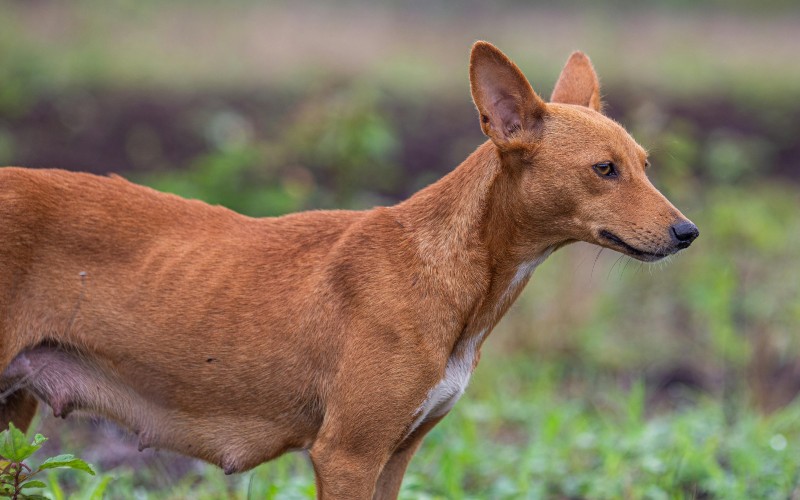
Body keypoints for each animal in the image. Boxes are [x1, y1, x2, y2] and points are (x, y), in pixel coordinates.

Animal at [0, 42, 692, 496]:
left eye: (645, 164)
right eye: (604, 170)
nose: (688, 233)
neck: (442, 273)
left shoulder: (396, 455)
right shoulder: (347, 453)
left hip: (16, 407)